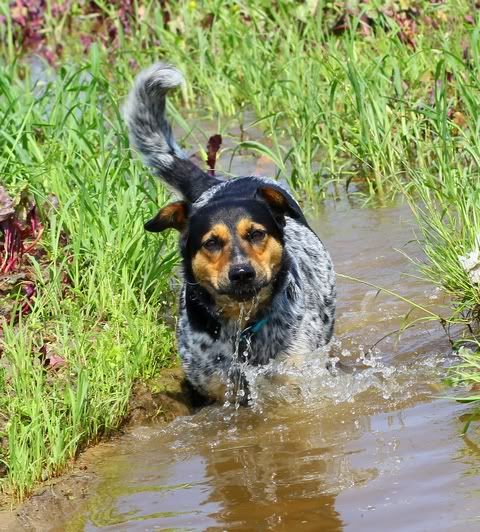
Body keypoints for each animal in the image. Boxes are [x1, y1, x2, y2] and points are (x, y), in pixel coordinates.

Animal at [124, 63, 336, 403]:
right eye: (211, 243)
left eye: (256, 234)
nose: (241, 273)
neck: (243, 327)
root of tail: (214, 185)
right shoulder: (215, 384)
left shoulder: (296, 370)